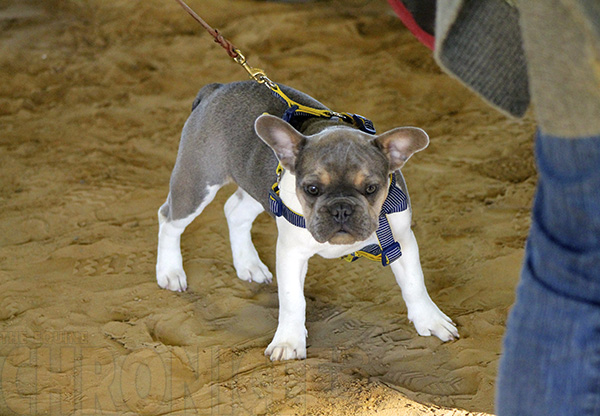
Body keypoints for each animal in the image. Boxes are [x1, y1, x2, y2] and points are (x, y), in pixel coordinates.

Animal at [156, 81, 460, 360]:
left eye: (371, 188)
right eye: (312, 189)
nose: (341, 209)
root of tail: (217, 89)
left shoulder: (401, 241)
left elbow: (415, 283)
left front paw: (430, 320)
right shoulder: (291, 253)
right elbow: (293, 300)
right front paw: (289, 342)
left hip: (260, 189)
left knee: (234, 211)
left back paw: (248, 264)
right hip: (197, 183)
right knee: (169, 219)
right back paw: (170, 271)